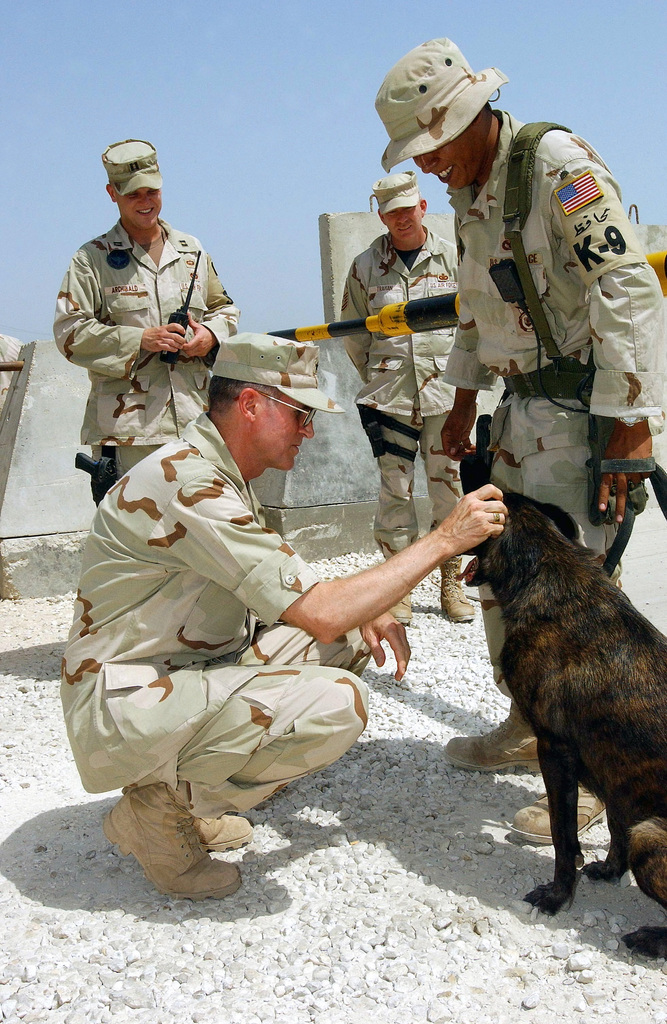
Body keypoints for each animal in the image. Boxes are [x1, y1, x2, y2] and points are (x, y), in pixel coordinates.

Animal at [465, 491, 667, 954]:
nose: (433, 527)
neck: (547, 565)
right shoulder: (613, 770)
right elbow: (615, 823)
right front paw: (610, 870)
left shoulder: (554, 749)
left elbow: (562, 836)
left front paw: (557, 897)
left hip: (652, 837)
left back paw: (652, 938)